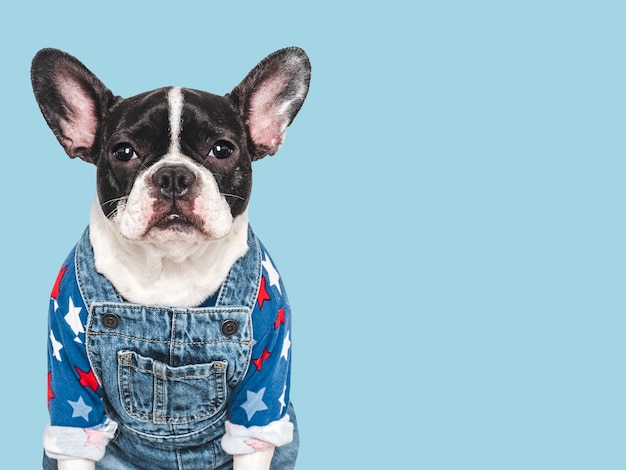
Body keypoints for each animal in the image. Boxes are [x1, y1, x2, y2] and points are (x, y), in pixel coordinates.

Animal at [31, 45, 310, 470]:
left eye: (222, 149)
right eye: (123, 152)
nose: (174, 175)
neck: (170, 266)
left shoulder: (264, 388)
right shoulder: (70, 383)